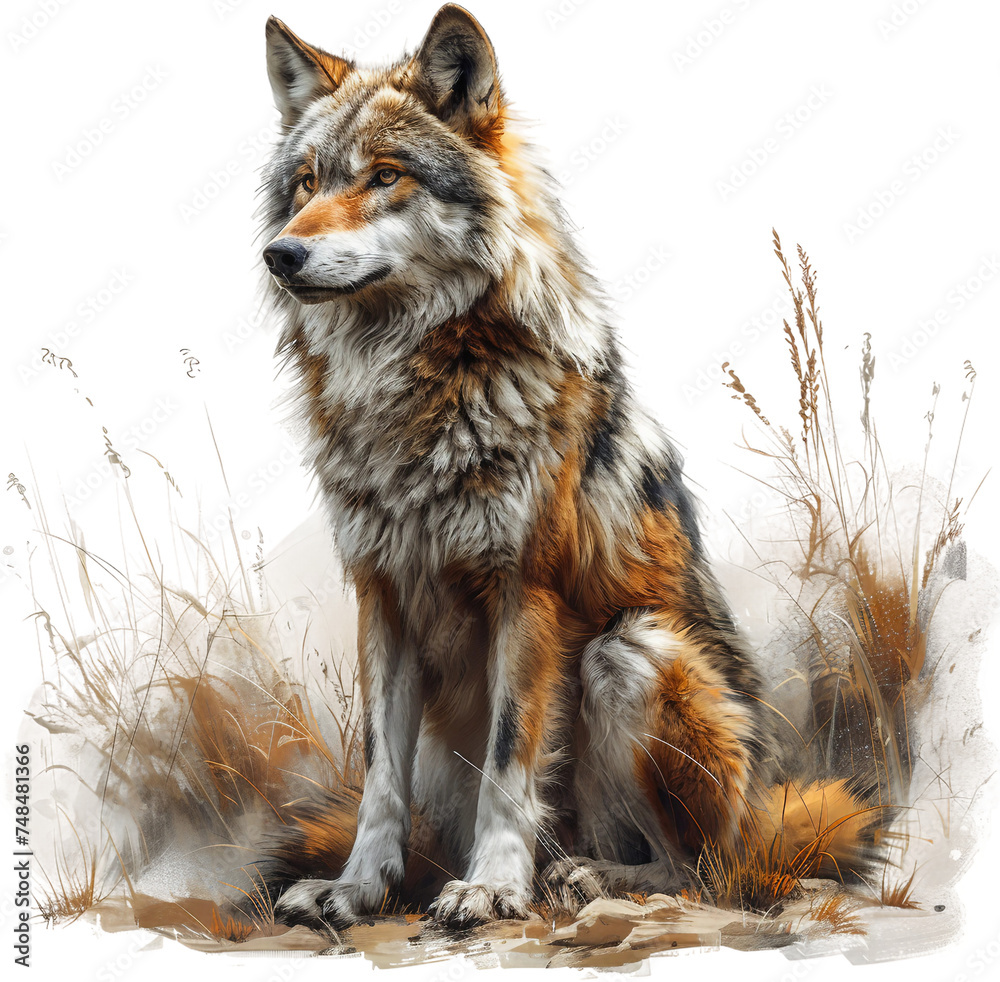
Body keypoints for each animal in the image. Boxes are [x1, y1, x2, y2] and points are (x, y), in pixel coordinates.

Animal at [257, 5, 877, 931]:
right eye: (305, 182)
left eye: (385, 176)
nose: (280, 255)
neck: (420, 389)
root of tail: (764, 817)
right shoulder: (382, 596)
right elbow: (378, 776)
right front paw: (357, 888)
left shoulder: (527, 592)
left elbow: (511, 757)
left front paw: (489, 885)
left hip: (629, 651)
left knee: (699, 871)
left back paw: (582, 877)